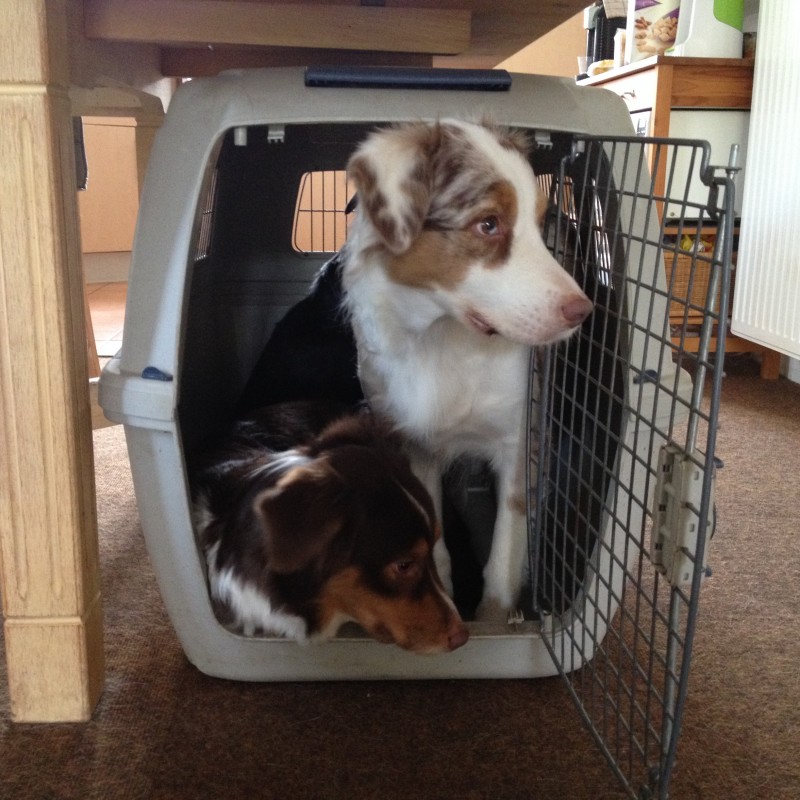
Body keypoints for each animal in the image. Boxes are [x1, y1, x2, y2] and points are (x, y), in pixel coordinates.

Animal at [340, 120, 592, 620]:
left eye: (538, 224)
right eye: (488, 224)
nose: (582, 312)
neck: (442, 338)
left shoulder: (520, 439)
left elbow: (506, 552)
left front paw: (493, 621)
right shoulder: (410, 437)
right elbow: (432, 537)